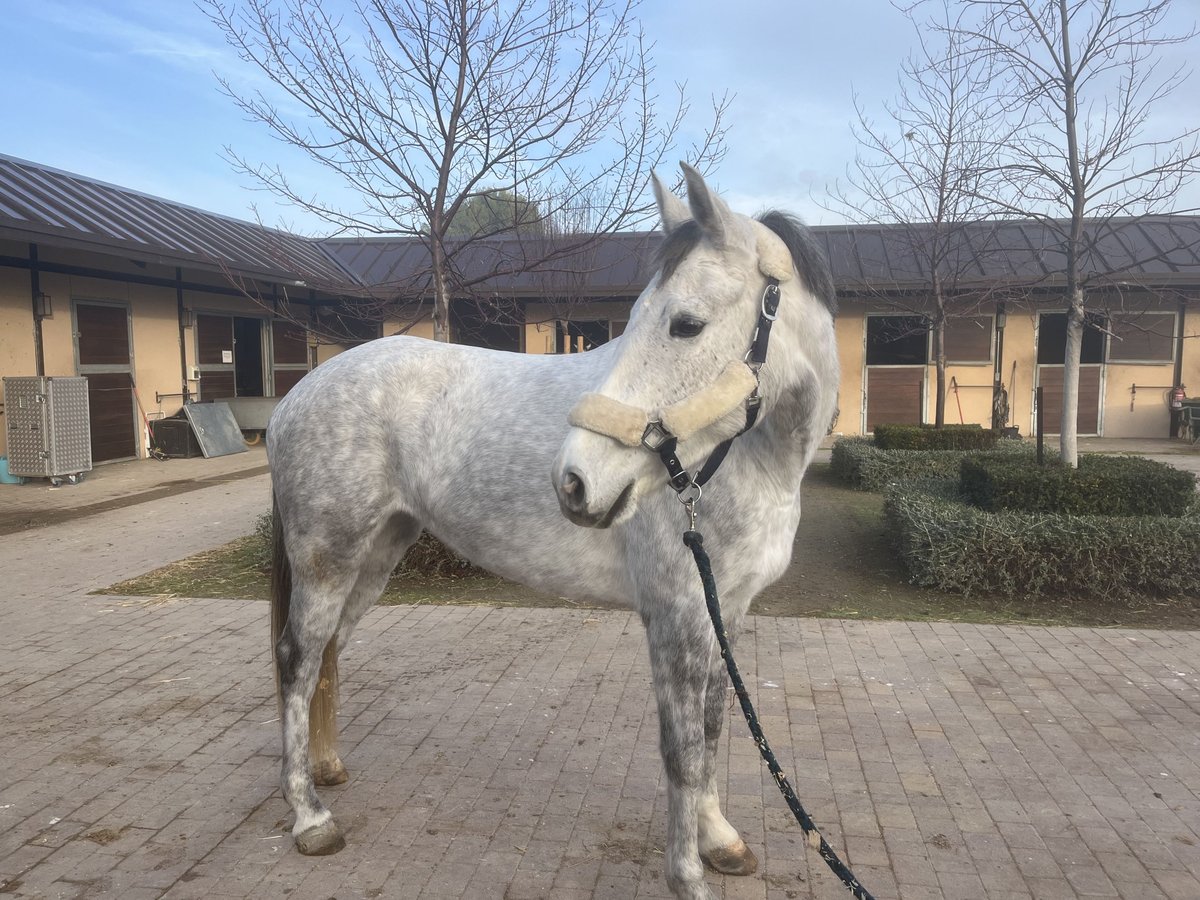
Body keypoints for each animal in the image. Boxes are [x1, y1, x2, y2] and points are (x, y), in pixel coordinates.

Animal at [266, 164, 840, 900]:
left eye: (687, 324)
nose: (574, 482)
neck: (747, 462)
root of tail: (297, 395)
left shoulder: (725, 610)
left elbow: (713, 727)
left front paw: (720, 841)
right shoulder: (676, 617)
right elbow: (681, 751)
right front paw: (687, 876)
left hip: (376, 554)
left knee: (329, 652)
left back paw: (327, 770)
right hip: (327, 558)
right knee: (297, 659)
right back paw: (309, 816)